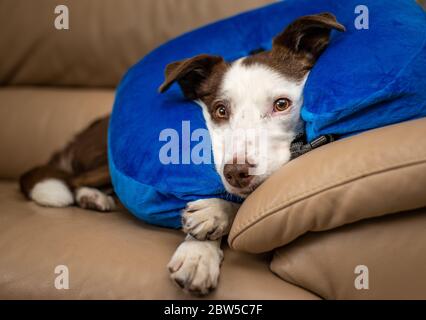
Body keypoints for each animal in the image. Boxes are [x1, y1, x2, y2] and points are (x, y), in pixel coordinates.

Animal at [20, 13, 346, 296]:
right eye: (220, 110)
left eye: (281, 104)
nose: (235, 173)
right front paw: (200, 249)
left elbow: (249, 206)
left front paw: (211, 219)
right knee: (73, 179)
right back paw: (92, 196)